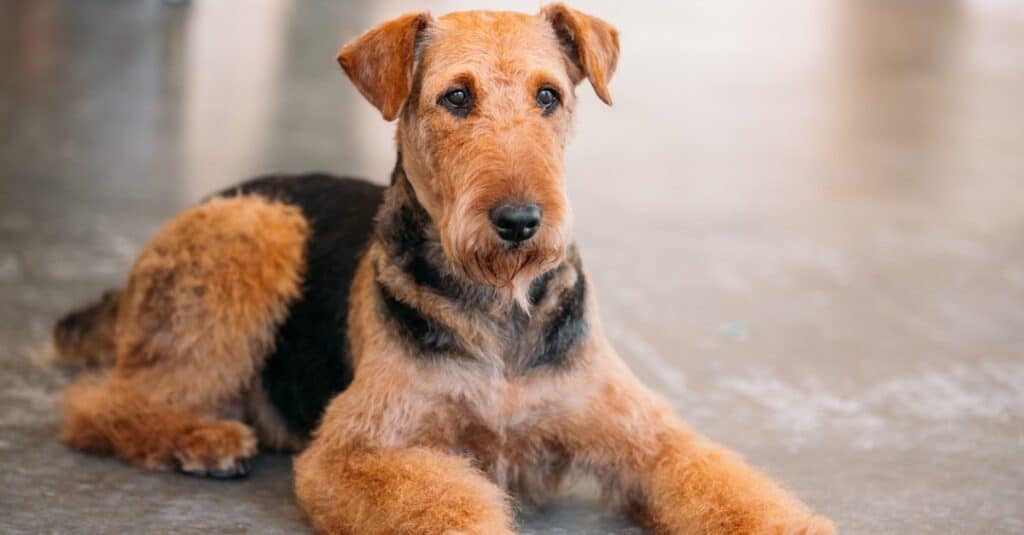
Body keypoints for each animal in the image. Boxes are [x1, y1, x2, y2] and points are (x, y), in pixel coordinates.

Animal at [56, 5, 835, 532]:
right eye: (456, 96)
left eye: (548, 95)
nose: (520, 221)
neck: (500, 307)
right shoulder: (359, 449)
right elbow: (448, 502)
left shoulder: (647, 436)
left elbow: (723, 484)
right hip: (256, 231)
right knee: (99, 403)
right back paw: (202, 439)